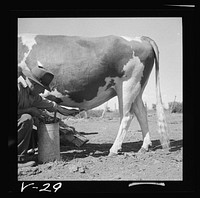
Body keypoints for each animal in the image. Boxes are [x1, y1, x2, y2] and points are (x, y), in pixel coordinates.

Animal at [18, 33, 170, 156]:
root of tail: (140, 38)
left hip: (127, 86)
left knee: (127, 116)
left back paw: (114, 149)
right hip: (137, 88)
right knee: (141, 113)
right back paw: (144, 147)